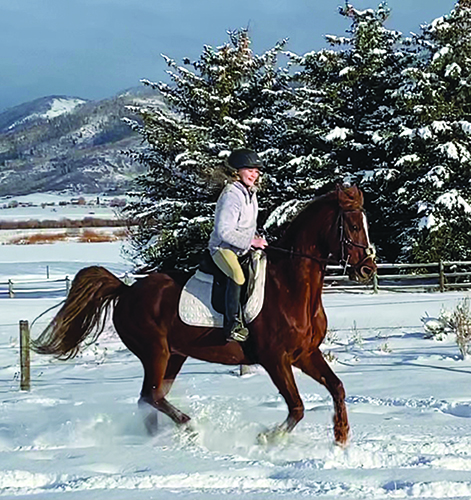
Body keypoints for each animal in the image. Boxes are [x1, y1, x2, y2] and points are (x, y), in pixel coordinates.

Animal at [32, 185, 376, 446]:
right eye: (353, 226)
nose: (368, 269)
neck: (291, 288)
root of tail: (126, 291)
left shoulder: (305, 354)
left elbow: (337, 387)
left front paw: (341, 437)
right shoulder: (275, 359)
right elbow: (297, 407)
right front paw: (267, 438)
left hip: (174, 356)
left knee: (149, 399)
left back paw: (154, 441)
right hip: (155, 353)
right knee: (152, 396)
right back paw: (190, 427)